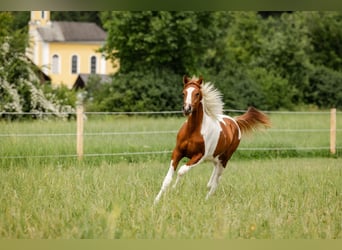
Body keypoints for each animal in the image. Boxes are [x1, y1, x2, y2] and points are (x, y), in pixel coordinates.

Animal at [154, 75, 270, 203]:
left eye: (197, 93)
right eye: (183, 93)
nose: (187, 109)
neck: (192, 131)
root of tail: (234, 121)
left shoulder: (199, 156)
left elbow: (181, 170)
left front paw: (175, 189)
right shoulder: (177, 152)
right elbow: (167, 179)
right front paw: (156, 201)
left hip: (225, 159)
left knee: (216, 181)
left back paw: (206, 199)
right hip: (215, 157)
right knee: (213, 177)